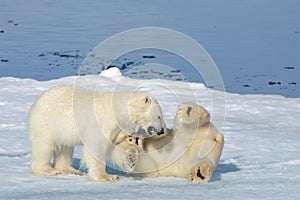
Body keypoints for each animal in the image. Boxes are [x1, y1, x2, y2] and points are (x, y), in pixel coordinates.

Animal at [28, 85, 165, 182]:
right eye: (159, 116)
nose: (161, 131)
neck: (118, 110)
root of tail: (36, 103)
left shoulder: (117, 128)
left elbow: (116, 146)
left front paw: (130, 158)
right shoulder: (102, 122)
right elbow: (97, 147)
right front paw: (107, 177)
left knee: (65, 148)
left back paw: (70, 170)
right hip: (47, 121)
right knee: (44, 146)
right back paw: (47, 170)